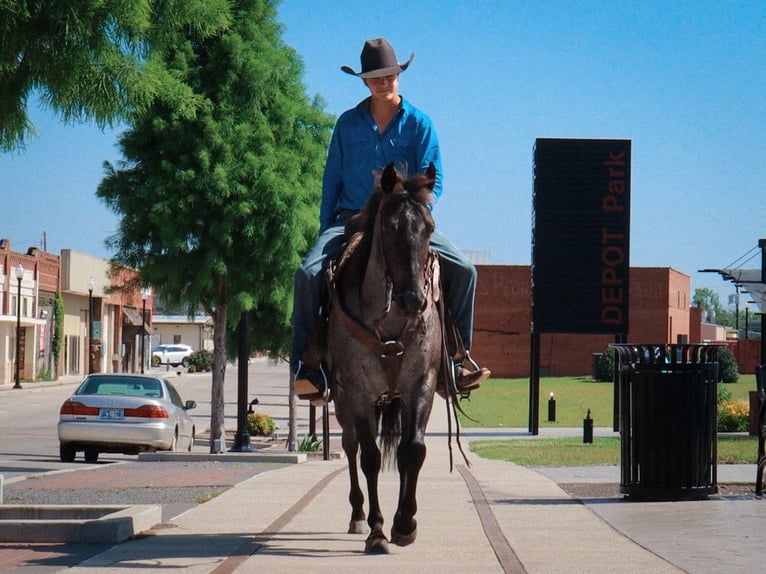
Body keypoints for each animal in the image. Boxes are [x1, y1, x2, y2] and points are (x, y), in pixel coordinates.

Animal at [328, 162, 444, 560]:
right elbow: (371, 458)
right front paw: (378, 531)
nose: (414, 299)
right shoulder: (360, 392)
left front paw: (405, 523)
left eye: (429, 228)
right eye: (391, 228)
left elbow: (414, 450)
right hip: (343, 399)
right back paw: (357, 516)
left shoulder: (421, 384)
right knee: (351, 446)